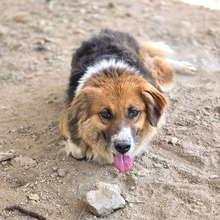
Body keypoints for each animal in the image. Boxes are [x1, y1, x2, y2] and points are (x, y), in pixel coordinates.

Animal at [58, 29, 175, 173]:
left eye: (134, 112)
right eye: (105, 114)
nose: (123, 147)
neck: (113, 73)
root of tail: (108, 31)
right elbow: (77, 151)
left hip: (160, 78)